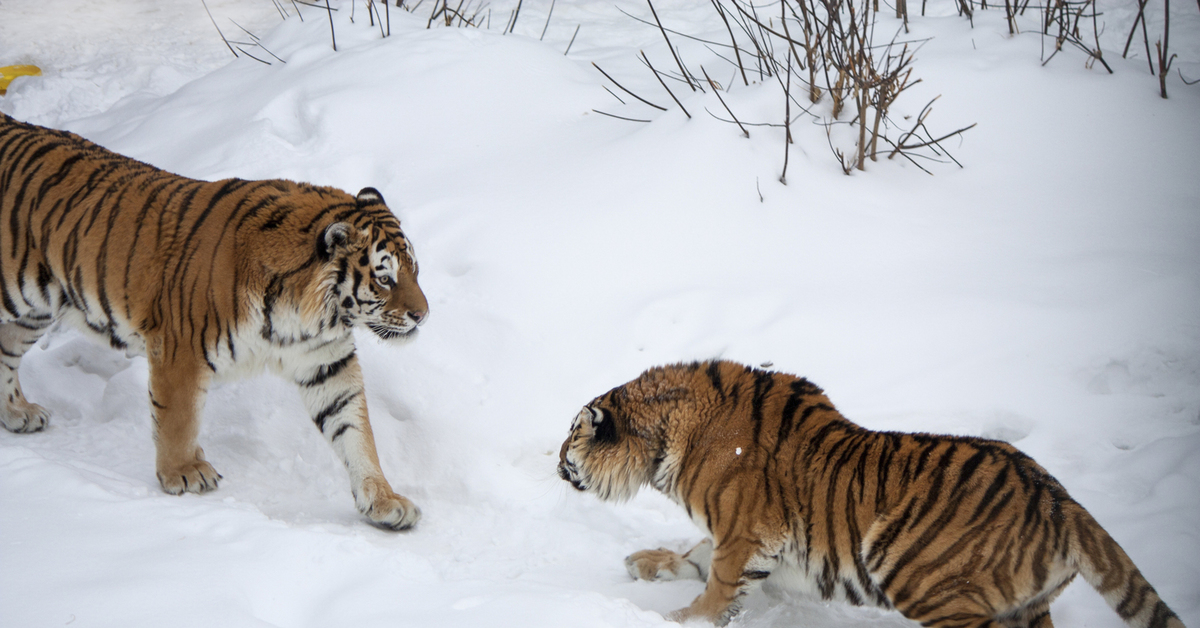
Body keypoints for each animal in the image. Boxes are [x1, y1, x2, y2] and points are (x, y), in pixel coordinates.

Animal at [0, 112, 432, 530]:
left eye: (414, 269)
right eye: (385, 278)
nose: (423, 316)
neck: (312, 315)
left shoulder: (327, 363)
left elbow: (355, 431)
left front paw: (384, 501)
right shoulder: (179, 349)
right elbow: (178, 418)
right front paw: (184, 472)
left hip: (34, 311)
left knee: (5, 354)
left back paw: (17, 413)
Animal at [556, 357, 1185, 628]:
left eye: (571, 436)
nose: (557, 463)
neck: (665, 441)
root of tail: (1061, 500)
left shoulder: (747, 529)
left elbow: (718, 582)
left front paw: (681, 619)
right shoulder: (747, 537)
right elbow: (697, 555)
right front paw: (644, 564)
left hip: (915, 570)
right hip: (1026, 607)